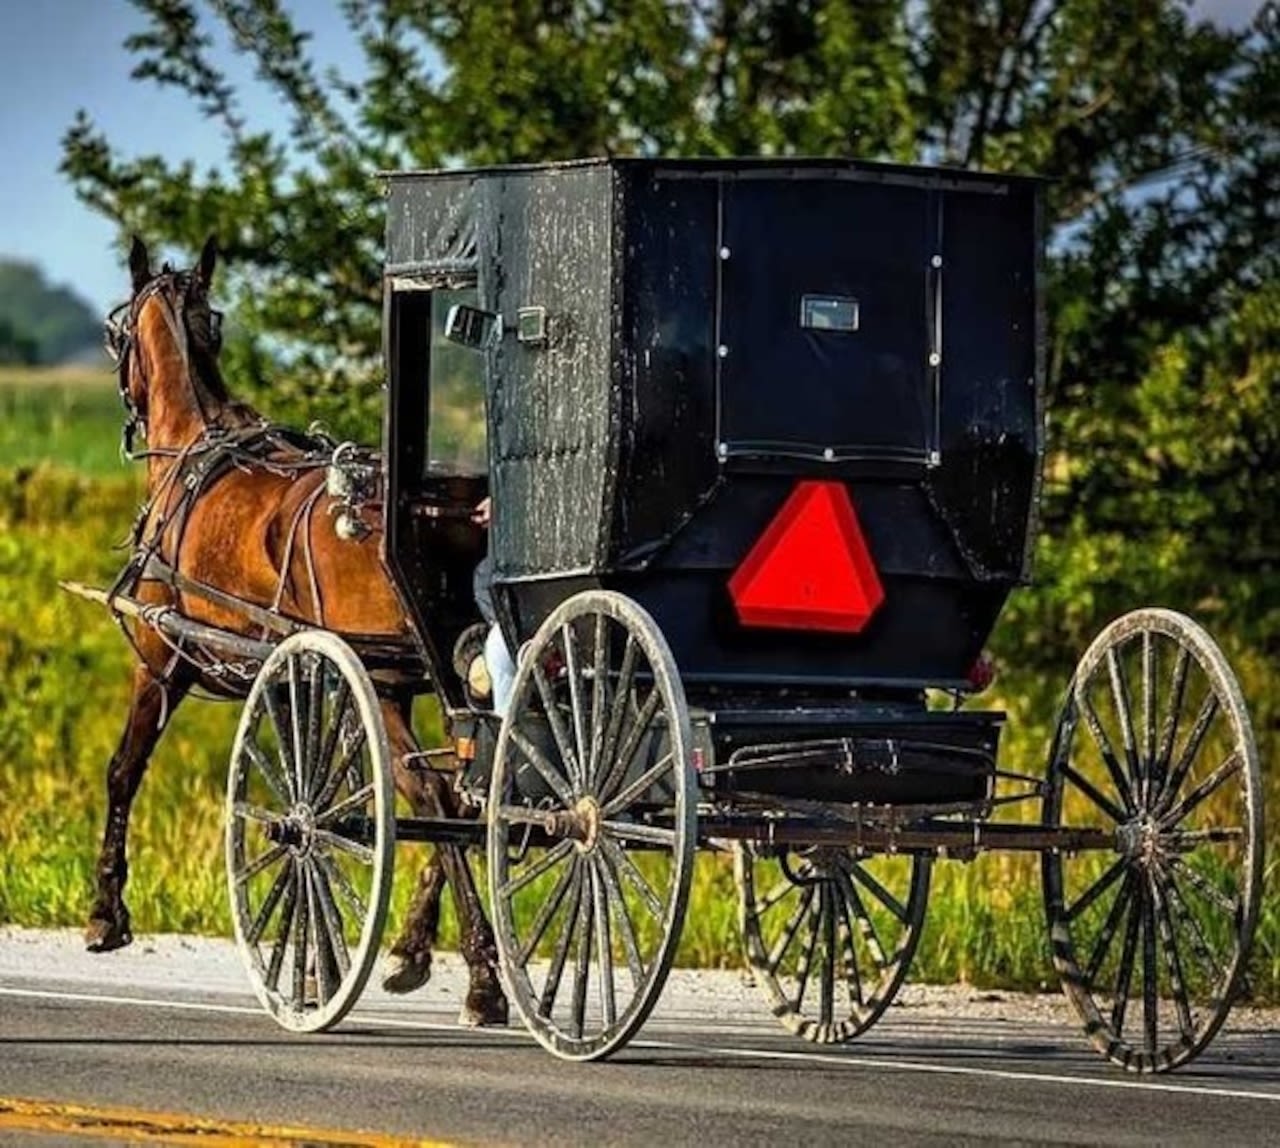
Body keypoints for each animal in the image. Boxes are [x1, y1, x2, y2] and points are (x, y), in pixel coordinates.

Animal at [82, 238, 504, 1023]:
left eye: (115, 334)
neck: (193, 447)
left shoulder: (160, 661)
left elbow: (124, 770)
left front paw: (105, 914)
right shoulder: (296, 678)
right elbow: (321, 798)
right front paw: (316, 961)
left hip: (385, 683)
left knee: (435, 798)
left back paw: (483, 977)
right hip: (426, 682)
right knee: (467, 795)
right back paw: (418, 951)